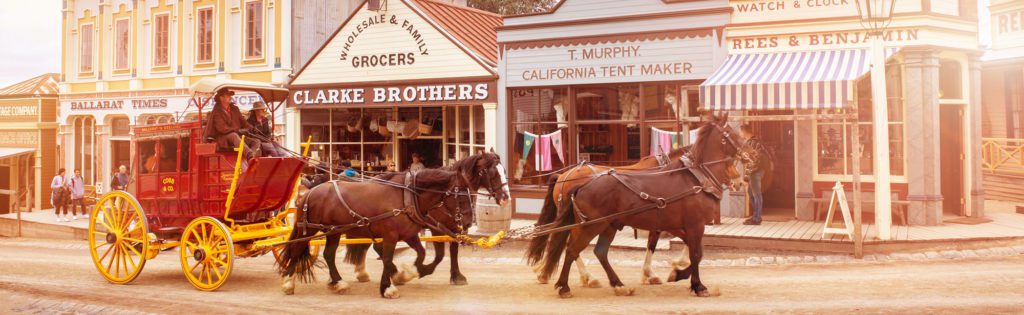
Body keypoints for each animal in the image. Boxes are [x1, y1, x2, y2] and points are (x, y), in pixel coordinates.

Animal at [276, 152, 507, 298]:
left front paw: (408, 273)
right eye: (459, 196)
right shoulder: (394, 235)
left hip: (333, 231)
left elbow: (423, 253)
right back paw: (288, 282)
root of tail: (311, 192)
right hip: (310, 228)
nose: (505, 197)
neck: (409, 197)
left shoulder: (411, 233)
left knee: (329, 255)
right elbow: (389, 257)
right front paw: (389, 286)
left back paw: (339, 282)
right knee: (296, 249)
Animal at [528, 113, 745, 298]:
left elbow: (692, 251)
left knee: (597, 251)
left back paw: (616, 285)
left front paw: (676, 272)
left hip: (607, 225)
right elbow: (695, 253)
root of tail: (575, 181)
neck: (695, 178)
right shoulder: (693, 224)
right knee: (572, 249)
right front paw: (695, 284)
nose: (740, 182)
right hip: (591, 225)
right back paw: (568, 284)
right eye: (732, 133)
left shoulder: (675, 224)